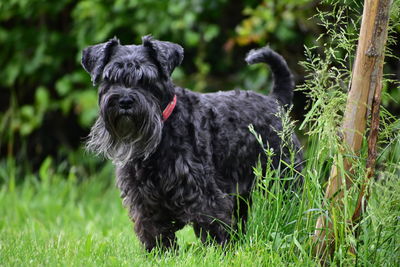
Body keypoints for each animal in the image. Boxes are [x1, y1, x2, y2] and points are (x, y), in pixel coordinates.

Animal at [81, 36, 302, 252]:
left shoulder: (203, 191)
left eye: (147, 80)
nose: (125, 101)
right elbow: (153, 228)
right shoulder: (143, 198)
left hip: (284, 177)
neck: (163, 128)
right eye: (110, 79)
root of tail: (276, 102)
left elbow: (212, 222)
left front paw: (218, 252)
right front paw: (160, 253)